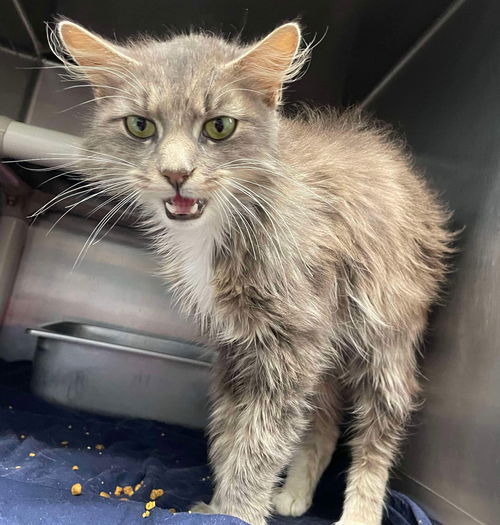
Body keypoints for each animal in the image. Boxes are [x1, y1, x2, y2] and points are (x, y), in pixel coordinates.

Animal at [52, 20, 452, 524]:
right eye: (139, 125)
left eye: (219, 127)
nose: (176, 174)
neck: (214, 231)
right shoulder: (237, 346)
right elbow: (229, 435)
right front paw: (221, 504)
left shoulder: (291, 344)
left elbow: (260, 442)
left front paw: (237, 511)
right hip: (328, 351)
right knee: (323, 422)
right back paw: (295, 494)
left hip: (384, 341)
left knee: (377, 435)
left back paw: (359, 513)